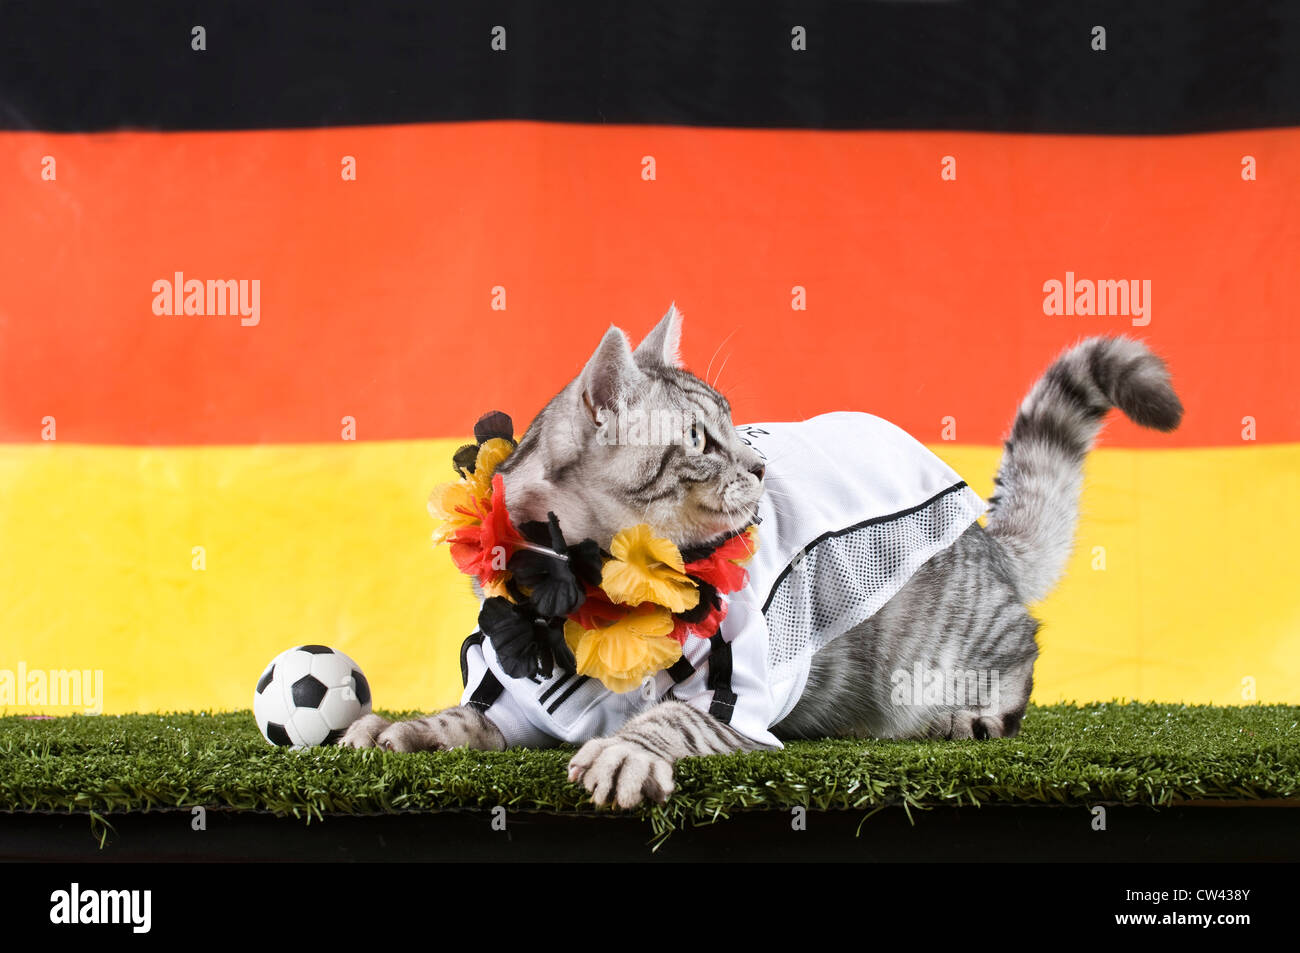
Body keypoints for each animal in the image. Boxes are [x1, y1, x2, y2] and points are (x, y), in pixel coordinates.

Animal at [340, 301, 1185, 806]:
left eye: (735, 423)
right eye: (698, 437)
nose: (760, 462)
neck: (591, 585)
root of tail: (985, 543)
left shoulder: (731, 694)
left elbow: (668, 721)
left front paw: (627, 750)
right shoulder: (520, 689)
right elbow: (461, 716)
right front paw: (404, 728)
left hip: (941, 656)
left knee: (1019, 662)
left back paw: (969, 717)